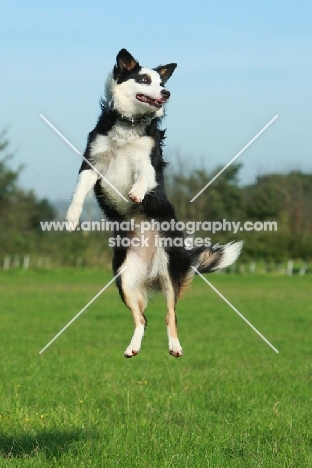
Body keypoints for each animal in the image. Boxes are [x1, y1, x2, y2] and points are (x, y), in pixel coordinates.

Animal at [65, 48, 241, 358]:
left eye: (161, 82)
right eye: (145, 80)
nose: (166, 92)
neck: (128, 123)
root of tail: (151, 273)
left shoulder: (146, 160)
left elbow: (145, 176)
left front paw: (136, 192)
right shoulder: (92, 164)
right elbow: (79, 192)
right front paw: (72, 218)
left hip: (169, 273)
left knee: (170, 315)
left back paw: (175, 347)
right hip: (124, 278)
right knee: (142, 319)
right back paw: (133, 348)